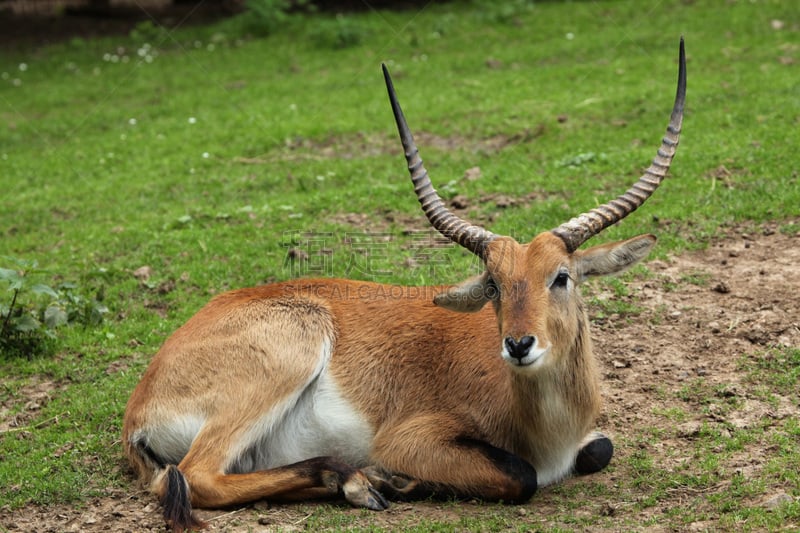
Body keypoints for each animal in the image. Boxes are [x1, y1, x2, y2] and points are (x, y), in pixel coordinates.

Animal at [123, 39, 688, 528]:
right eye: (493, 285)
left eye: (561, 277)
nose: (519, 344)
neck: (545, 427)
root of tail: (138, 410)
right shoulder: (411, 439)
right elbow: (520, 475)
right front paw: (397, 478)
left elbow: (600, 448)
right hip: (285, 358)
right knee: (196, 477)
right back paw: (364, 481)